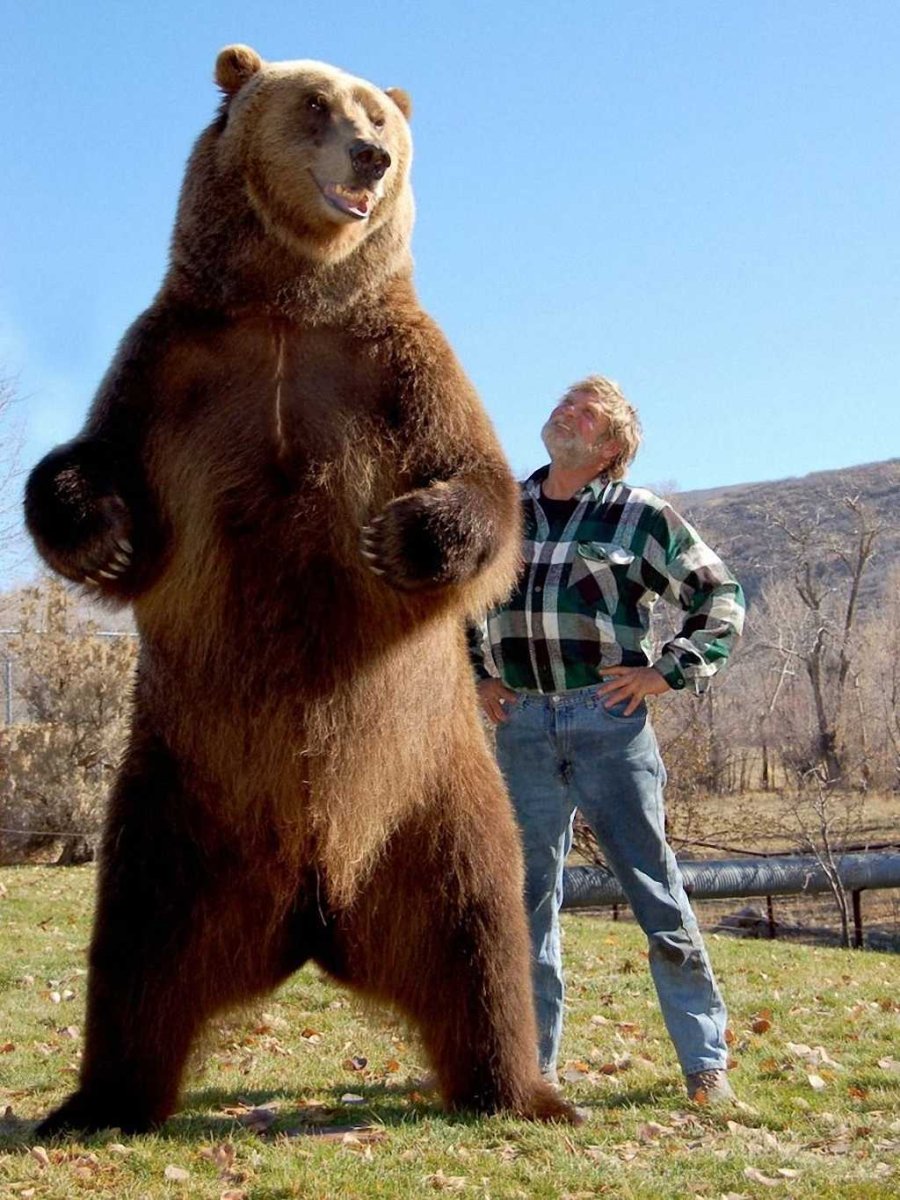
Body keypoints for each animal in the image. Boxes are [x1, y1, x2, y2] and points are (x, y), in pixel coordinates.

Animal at [25, 46, 579, 1134]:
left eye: (381, 117)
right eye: (317, 105)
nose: (371, 156)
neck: (291, 303)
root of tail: (316, 913)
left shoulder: (395, 366)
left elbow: (480, 485)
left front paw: (401, 535)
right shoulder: (177, 364)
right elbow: (98, 460)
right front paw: (102, 535)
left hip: (432, 795)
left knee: (483, 935)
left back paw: (523, 1092)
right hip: (178, 804)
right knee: (135, 956)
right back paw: (97, 1100)